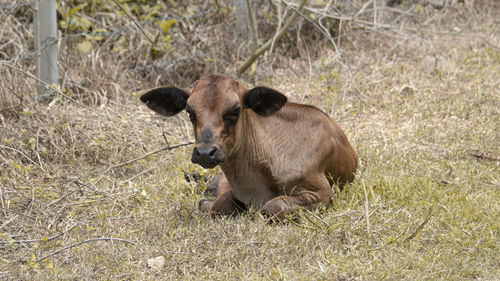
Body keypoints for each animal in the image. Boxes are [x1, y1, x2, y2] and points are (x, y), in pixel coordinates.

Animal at [141, 74, 358, 219]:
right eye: (189, 111)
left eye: (235, 110)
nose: (205, 153)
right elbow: (221, 204)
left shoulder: (322, 193)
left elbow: (274, 206)